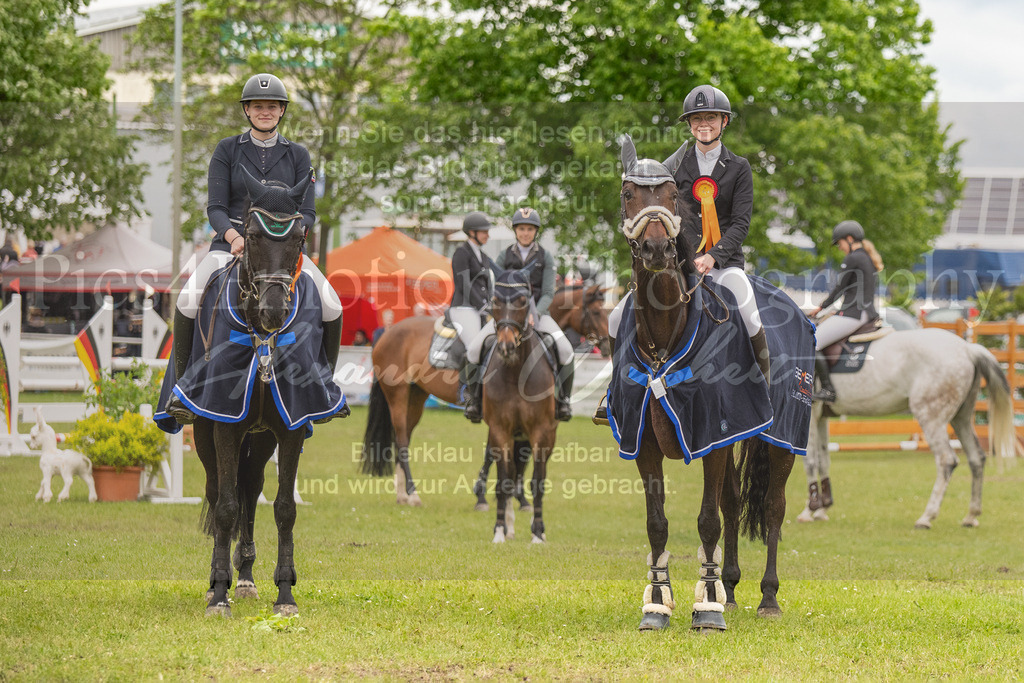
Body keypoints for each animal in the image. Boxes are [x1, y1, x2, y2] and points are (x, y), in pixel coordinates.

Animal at [155, 167, 346, 618]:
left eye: (300, 238)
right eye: (254, 236)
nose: (274, 311)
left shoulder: (291, 425)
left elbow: (284, 508)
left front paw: (285, 594)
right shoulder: (224, 423)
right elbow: (225, 506)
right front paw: (219, 596)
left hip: (260, 437)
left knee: (252, 489)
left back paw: (245, 577)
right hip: (207, 432)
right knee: (218, 491)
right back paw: (219, 581)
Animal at [610, 136, 811, 634]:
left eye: (670, 195)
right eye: (629, 193)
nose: (657, 249)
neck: (665, 339)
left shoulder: (712, 436)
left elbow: (706, 521)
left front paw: (707, 608)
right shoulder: (644, 443)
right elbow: (658, 524)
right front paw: (658, 604)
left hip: (781, 440)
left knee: (772, 507)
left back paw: (766, 597)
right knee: (734, 503)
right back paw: (732, 589)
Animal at [802, 327, 1019, 532]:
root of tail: (967, 349)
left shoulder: (811, 414)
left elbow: (810, 461)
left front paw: (809, 510)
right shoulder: (821, 417)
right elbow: (824, 461)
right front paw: (822, 509)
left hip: (930, 417)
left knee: (946, 460)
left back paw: (926, 517)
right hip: (962, 418)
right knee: (976, 458)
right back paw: (971, 516)